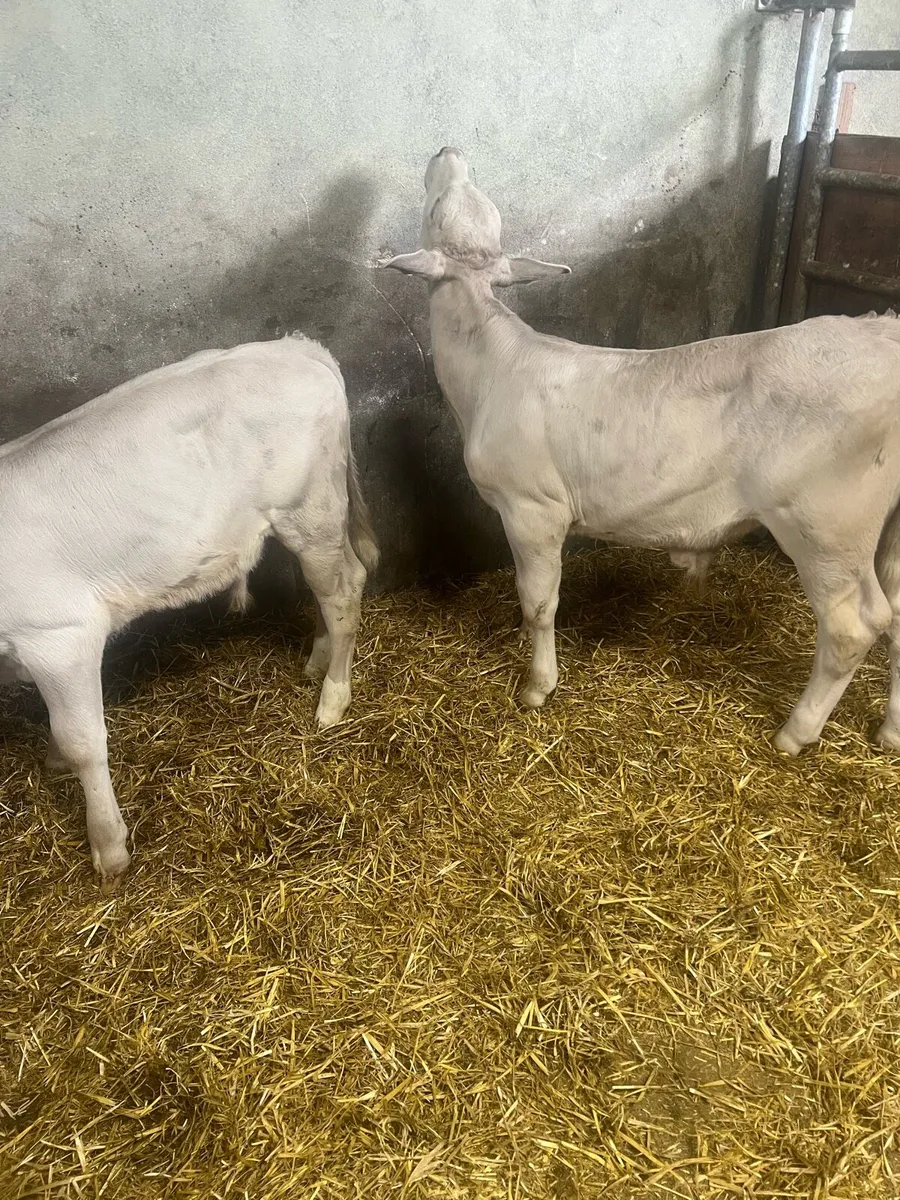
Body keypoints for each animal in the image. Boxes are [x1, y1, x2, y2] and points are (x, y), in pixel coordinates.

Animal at [0, 333, 378, 888]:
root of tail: (295, 347)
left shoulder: (60, 634)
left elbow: (83, 740)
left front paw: (109, 849)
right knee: (324, 593)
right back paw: (316, 662)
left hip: (313, 510)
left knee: (345, 589)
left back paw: (332, 700)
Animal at [383, 146, 900, 756]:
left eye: (435, 205)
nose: (449, 150)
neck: (489, 365)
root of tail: (881, 335)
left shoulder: (532, 508)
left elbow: (539, 601)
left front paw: (537, 687)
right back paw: (890, 729)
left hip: (825, 524)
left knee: (852, 627)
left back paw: (794, 734)